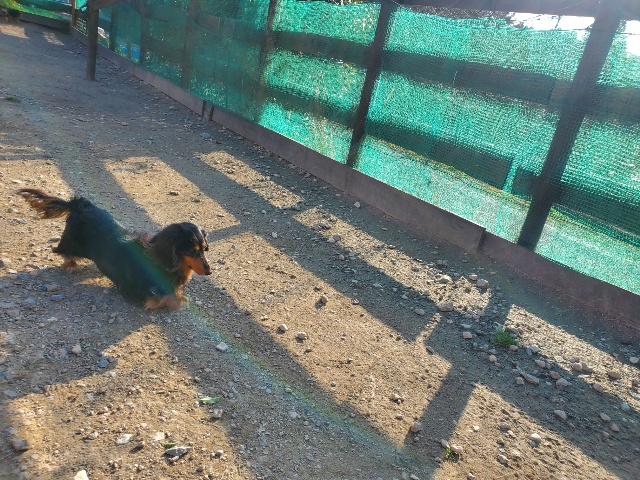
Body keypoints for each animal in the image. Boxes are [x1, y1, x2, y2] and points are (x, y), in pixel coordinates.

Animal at [17, 189, 212, 310]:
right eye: (192, 251)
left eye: (204, 248)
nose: (209, 272)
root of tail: (80, 205)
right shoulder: (139, 292)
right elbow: (165, 298)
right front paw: (180, 300)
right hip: (72, 243)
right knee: (64, 252)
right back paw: (71, 265)